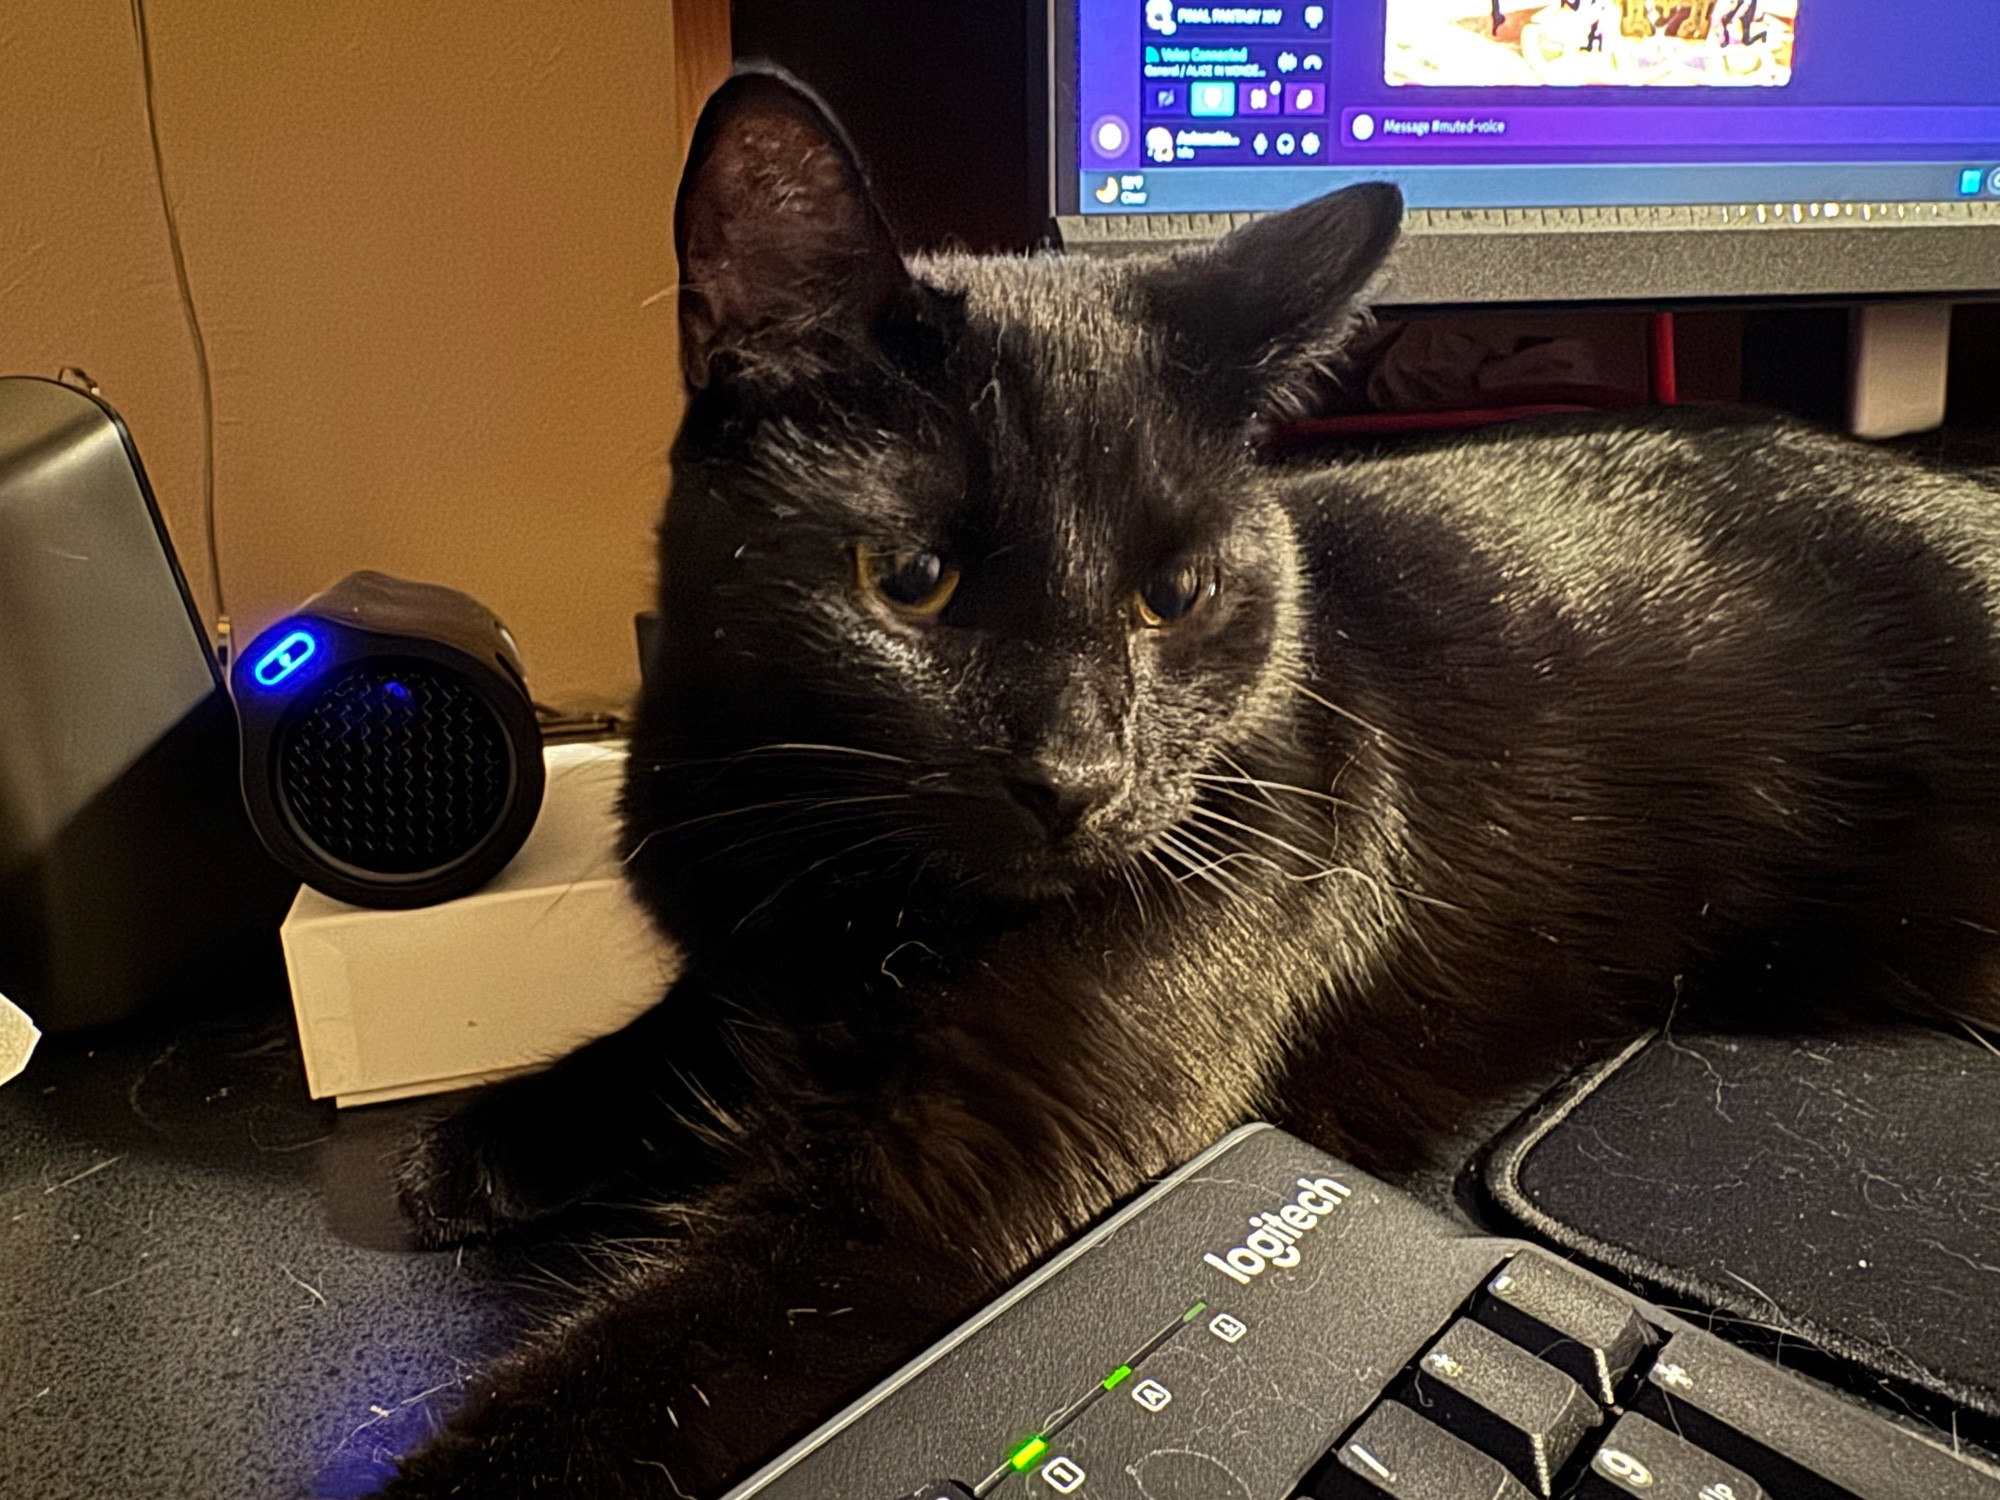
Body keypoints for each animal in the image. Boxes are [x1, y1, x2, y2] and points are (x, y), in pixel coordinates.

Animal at [382, 64, 2000, 1496]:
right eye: (908, 579)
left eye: (1174, 595)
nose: (1078, 774)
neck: (829, 860)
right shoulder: (752, 955)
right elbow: (688, 1027)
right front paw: (487, 1145)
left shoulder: (932, 1209)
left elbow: (627, 1389)